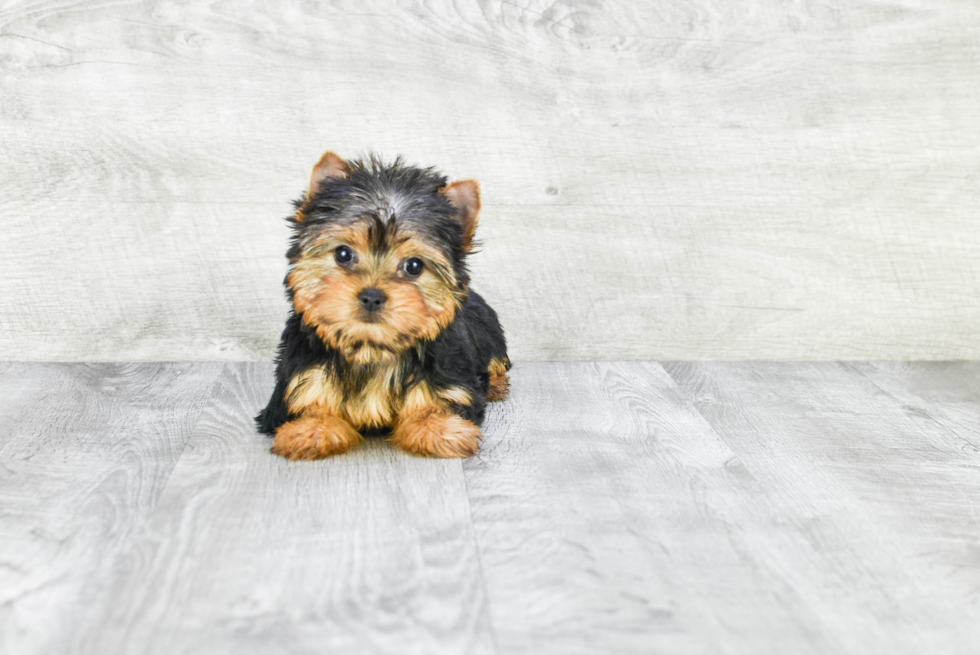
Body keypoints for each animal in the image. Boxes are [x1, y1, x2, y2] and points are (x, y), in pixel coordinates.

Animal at [253, 152, 512, 462]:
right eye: (343, 254)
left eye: (414, 266)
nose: (372, 296)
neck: (371, 350)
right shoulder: (303, 377)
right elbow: (311, 403)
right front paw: (311, 430)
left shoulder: (448, 379)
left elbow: (436, 403)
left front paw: (439, 428)